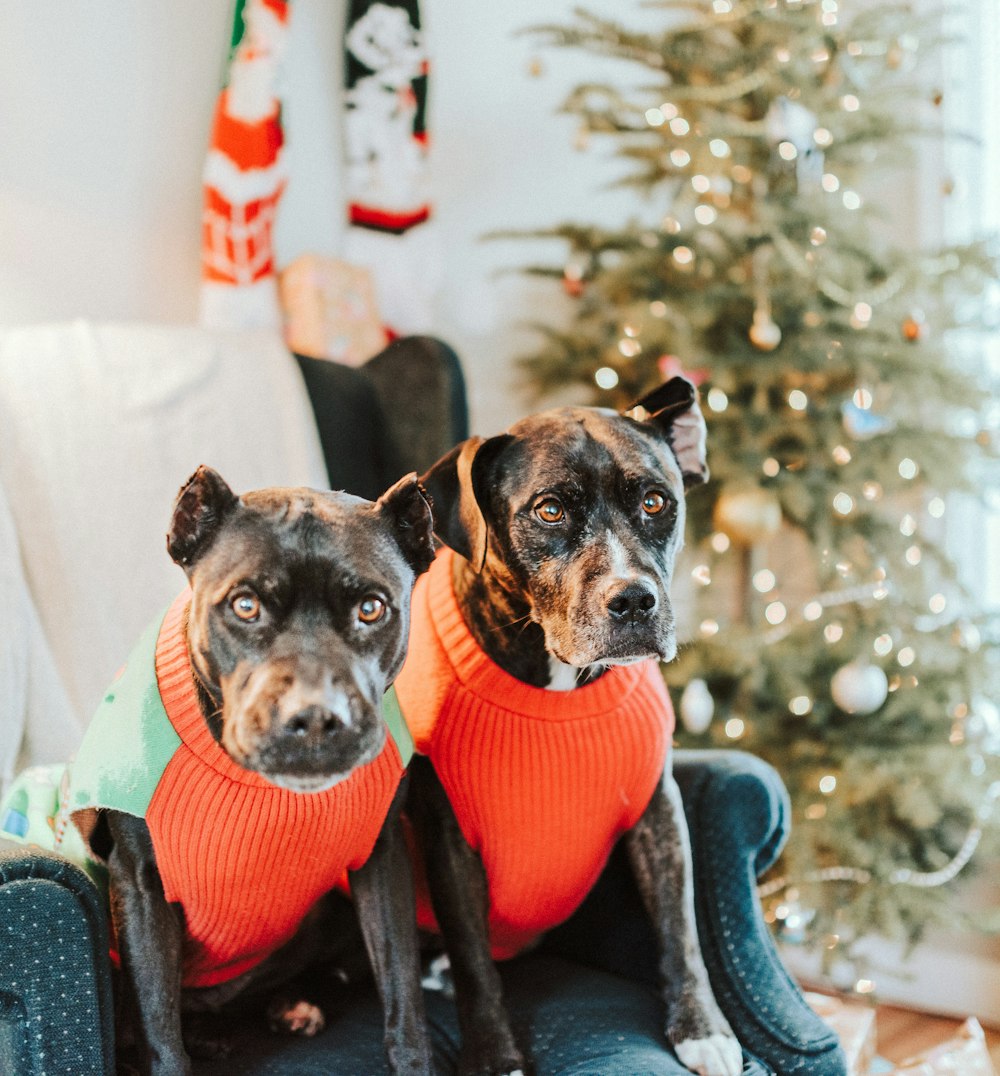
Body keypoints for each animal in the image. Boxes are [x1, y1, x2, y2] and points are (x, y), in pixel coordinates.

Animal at [67, 469, 428, 1076]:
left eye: (371, 608)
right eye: (245, 605)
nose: (315, 716)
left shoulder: (382, 860)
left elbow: (404, 1002)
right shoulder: (139, 888)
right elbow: (160, 1032)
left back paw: (290, 1006)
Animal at [400, 380, 740, 1076]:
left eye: (656, 502)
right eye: (551, 510)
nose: (634, 599)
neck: (557, 686)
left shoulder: (658, 808)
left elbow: (681, 926)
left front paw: (703, 1028)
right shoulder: (446, 836)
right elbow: (475, 965)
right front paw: (494, 1056)